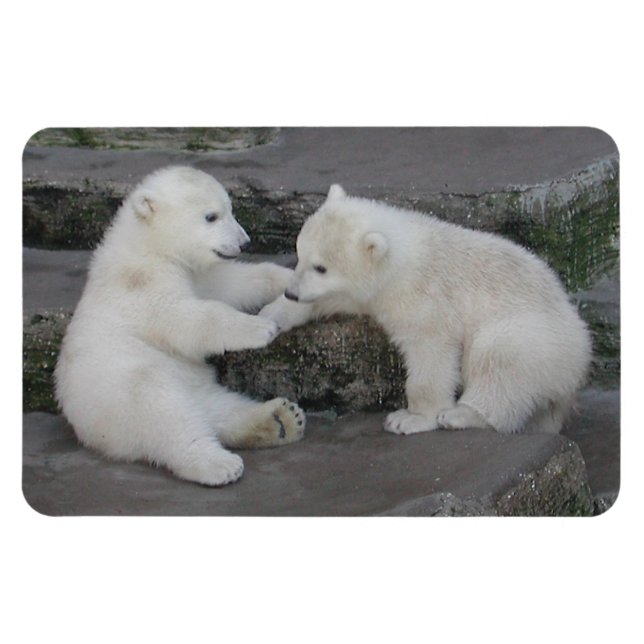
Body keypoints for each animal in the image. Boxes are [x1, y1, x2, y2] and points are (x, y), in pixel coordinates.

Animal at [54, 166, 305, 487]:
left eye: (230, 209)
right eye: (211, 216)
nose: (244, 242)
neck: (147, 244)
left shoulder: (196, 273)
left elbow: (231, 284)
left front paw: (290, 279)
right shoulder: (142, 286)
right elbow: (185, 318)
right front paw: (261, 327)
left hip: (194, 386)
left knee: (218, 408)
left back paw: (282, 420)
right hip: (120, 392)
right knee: (164, 412)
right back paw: (218, 464)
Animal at [260, 184, 592, 435]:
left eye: (321, 267)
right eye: (299, 253)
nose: (292, 292)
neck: (405, 255)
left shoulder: (423, 296)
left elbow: (430, 352)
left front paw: (410, 418)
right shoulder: (374, 292)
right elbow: (340, 298)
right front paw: (271, 315)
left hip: (535, 335)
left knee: (500, 359)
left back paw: (462, 415)